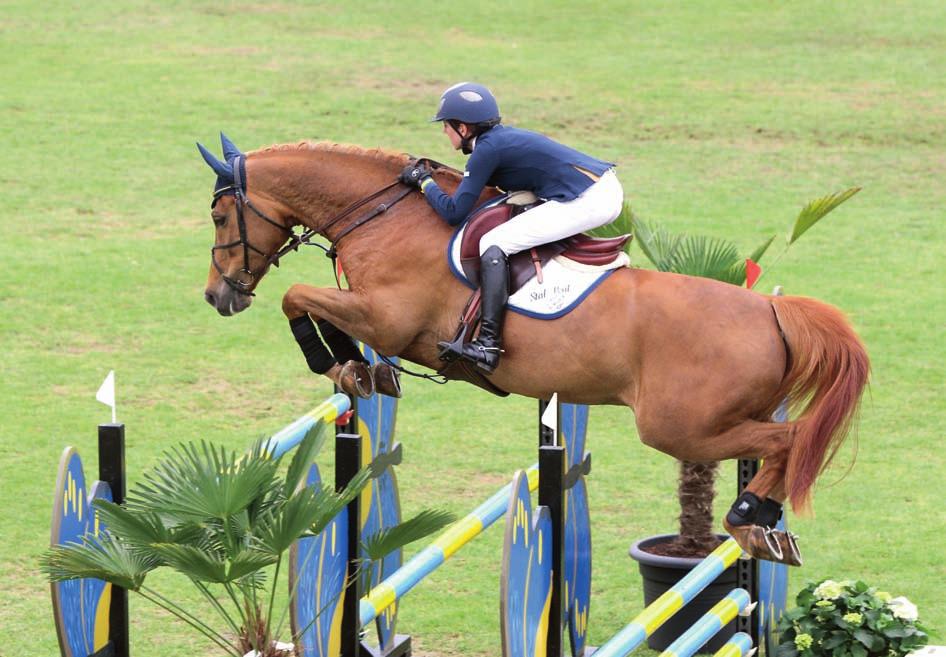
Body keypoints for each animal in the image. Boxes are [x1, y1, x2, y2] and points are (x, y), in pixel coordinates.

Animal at [199, 133, 872, 564]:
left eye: (219, 217)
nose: (217, 295)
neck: (386, 215)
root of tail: (770, 308)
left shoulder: (386, 319)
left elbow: (297, 297)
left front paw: (343, 367)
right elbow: (311, 304)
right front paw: (362, 373)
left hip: (681, 427)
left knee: (790, 440)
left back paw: (750, 519)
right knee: (784, 442)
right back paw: (765, 526)